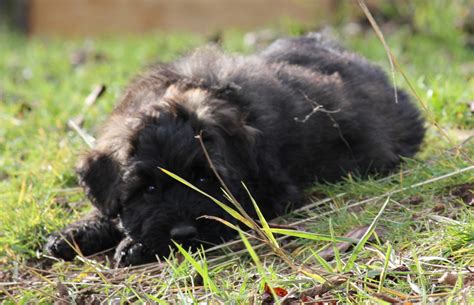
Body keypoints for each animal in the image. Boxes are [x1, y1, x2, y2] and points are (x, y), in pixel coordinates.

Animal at [45, 33, 426, 264]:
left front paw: (134, 245)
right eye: (148, 189)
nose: (184, 234)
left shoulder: (272, 195)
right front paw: (74, 232)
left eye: (204, 180)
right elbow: (109, 211)